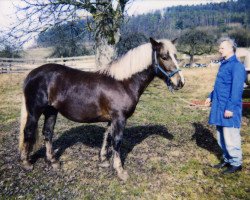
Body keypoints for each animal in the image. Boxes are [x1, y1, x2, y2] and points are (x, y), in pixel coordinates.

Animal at [19, 37, 184, 180]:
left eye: (176, 56)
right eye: (164, 56)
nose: (180, 82)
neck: (123, 82)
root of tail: (31, 74)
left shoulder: (112, 119)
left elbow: (107, 137)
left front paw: (103, 160)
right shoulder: (119, 118)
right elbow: (117, 141)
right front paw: (120, 170)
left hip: (51, 111)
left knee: (48, 133)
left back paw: (53, 161)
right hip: (35, 112)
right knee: (28, 131)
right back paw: (26, 163)